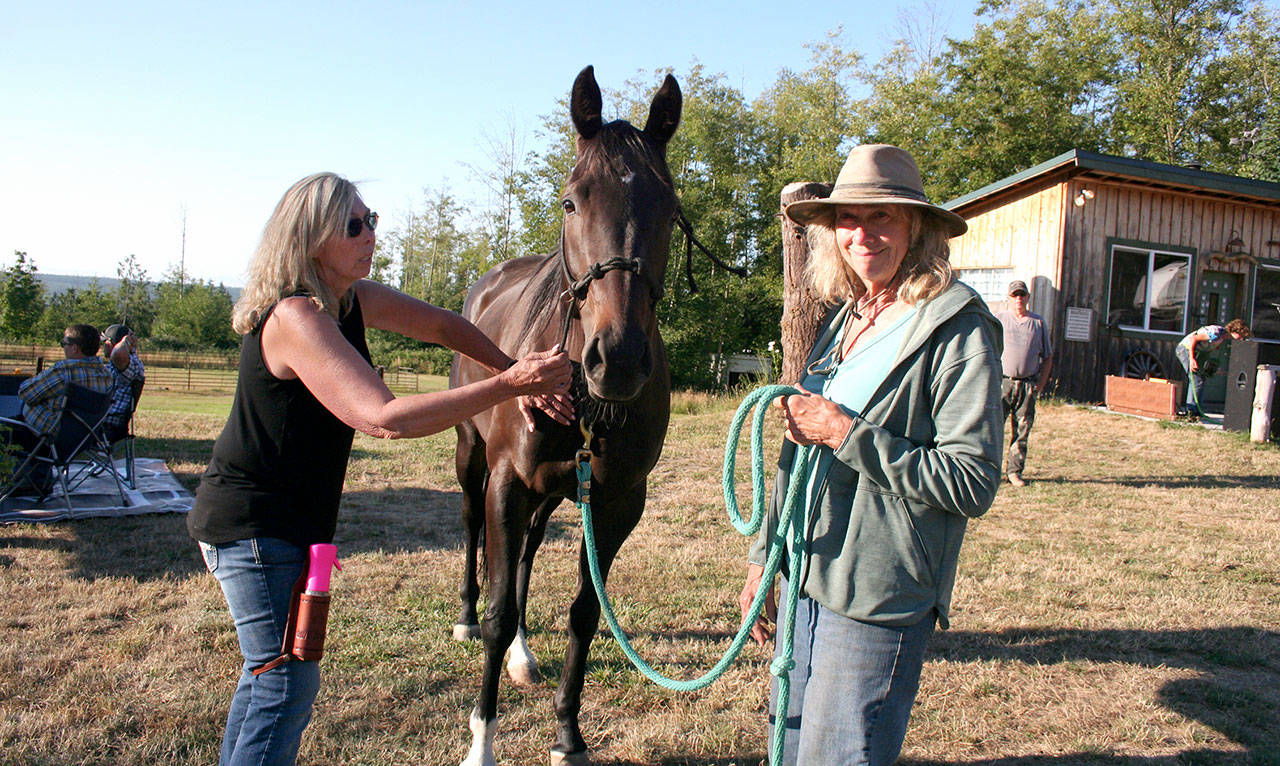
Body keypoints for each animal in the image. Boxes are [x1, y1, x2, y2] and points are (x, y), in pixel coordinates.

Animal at [455, 67, 686, 766]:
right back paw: (466, 617)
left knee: (527, 557)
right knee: (475, 532)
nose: (618, 359)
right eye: (570, 202)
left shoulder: (614, 501)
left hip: (554, 494)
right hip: (473, 461)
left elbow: (585, 611)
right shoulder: (507, 480)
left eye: (670, 209)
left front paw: (567, 735)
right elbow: (500, 610)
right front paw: (482, 742)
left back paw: (524, 658)